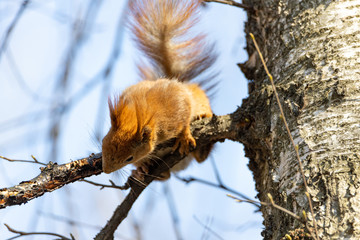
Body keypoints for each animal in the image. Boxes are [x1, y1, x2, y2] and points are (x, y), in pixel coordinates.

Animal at [102, 0, 217, 180]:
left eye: (129, 157)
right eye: (102, 142)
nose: (106, 170)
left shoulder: (177, 105)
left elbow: (185, 116)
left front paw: (184, 135)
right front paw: (142, 165)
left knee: (202, 156)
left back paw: (203, 118)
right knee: (167, 176)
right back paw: (144, 170)